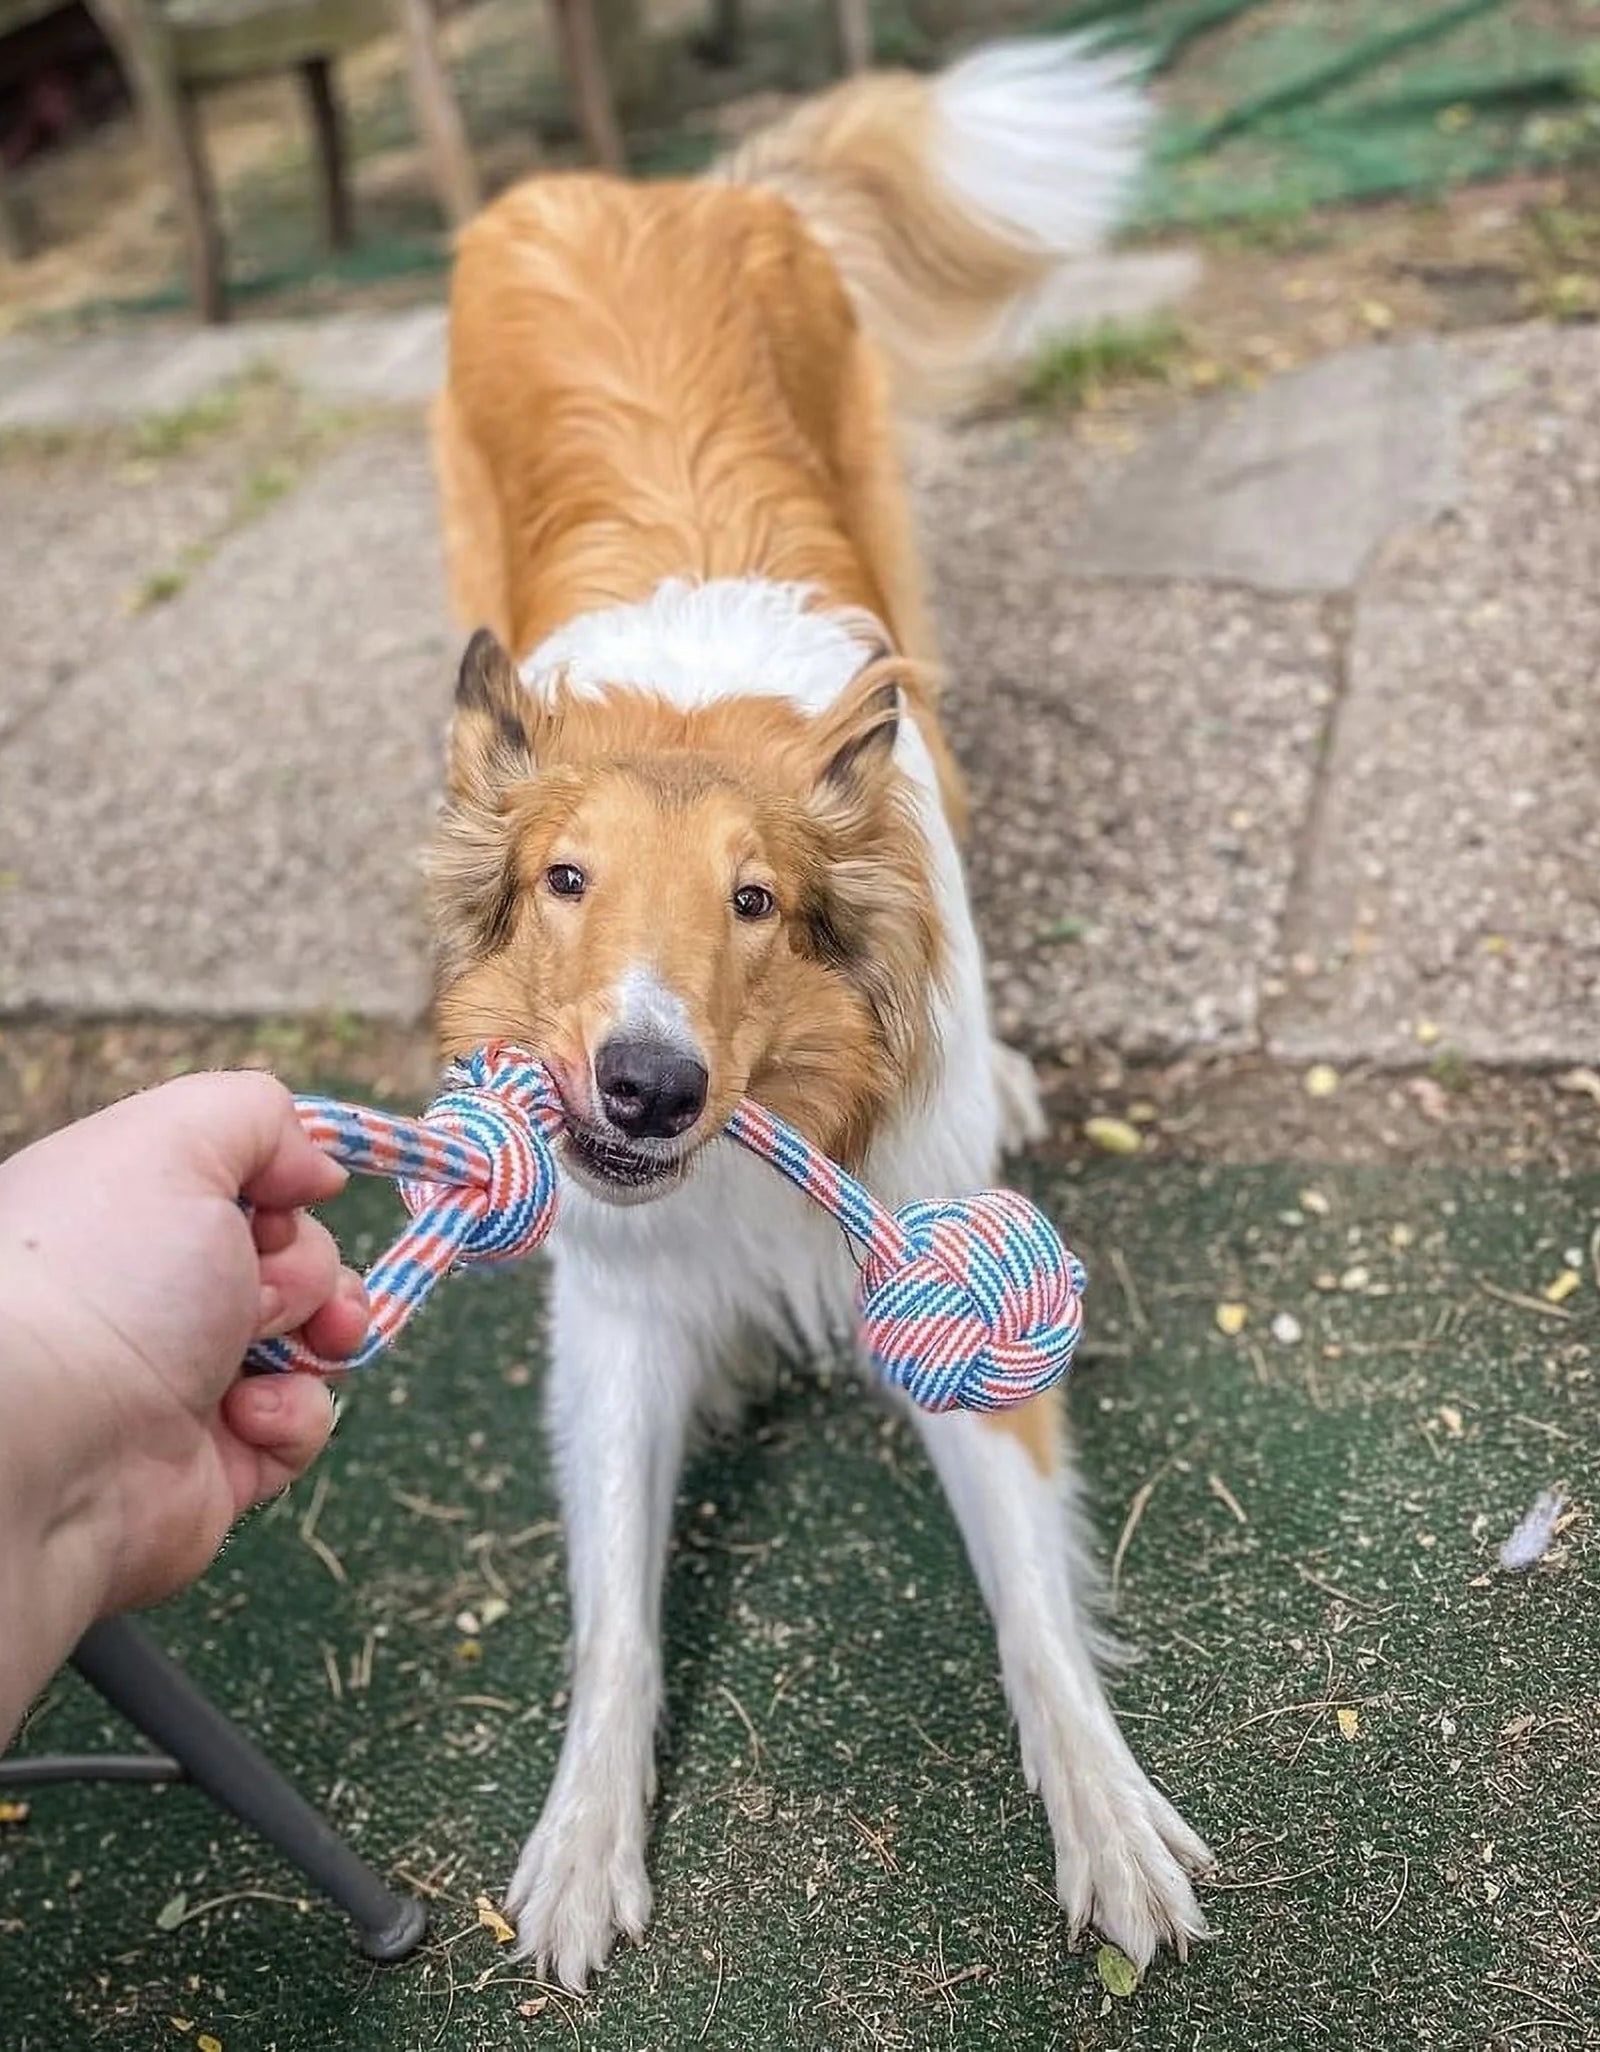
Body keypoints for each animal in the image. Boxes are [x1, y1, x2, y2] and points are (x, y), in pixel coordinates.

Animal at [424, 32, 1214, 1986]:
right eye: (566, 881)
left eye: (757, 904)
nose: (638, 1088)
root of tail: (675, 184)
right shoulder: (617, 1310)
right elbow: (613, 1617)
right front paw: (579, 1840)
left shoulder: (952, 1282)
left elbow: (1030, 1608)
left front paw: (1105, 1815)